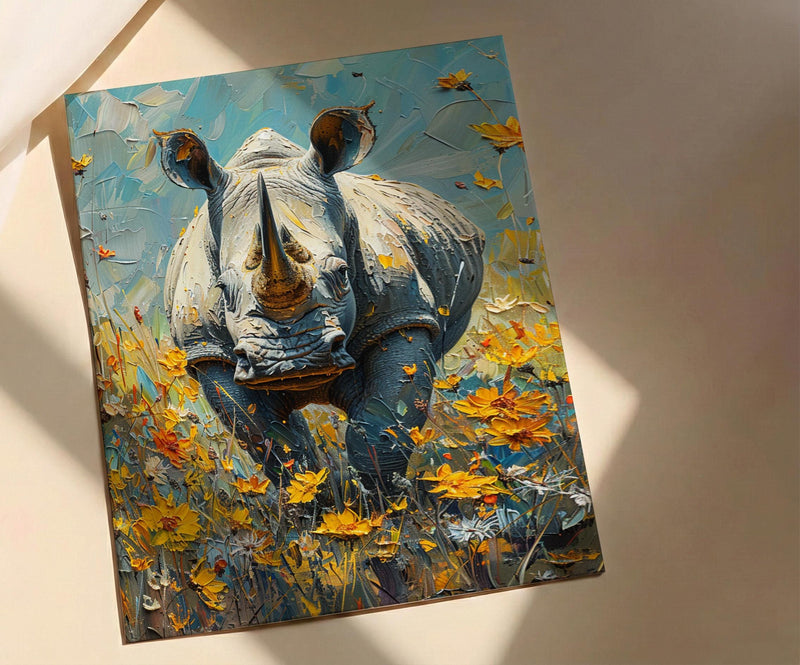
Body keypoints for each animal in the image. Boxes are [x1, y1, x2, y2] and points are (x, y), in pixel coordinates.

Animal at [155, 104, 484, 490]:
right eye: (223, 290)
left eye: (342, 274)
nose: (292, 361)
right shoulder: (207, 350)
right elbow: (275, 445)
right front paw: (315, 496)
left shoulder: (401, 315)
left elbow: (381, 430)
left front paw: (387, 500)